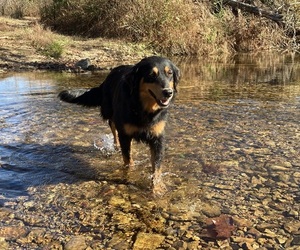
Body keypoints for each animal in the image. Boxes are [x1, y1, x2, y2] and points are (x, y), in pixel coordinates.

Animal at [59, 56, 179, 193]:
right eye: (151, 75)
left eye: (169, 73)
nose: (168, 92)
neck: (143, 108)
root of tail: (107, 78)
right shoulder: (125, 135)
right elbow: (128, 160)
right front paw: (130, 175)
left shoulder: (157, 137)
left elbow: (157, 166)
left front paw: (157, 187)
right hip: (110, 111)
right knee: (113, 127)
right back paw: (116, 145)